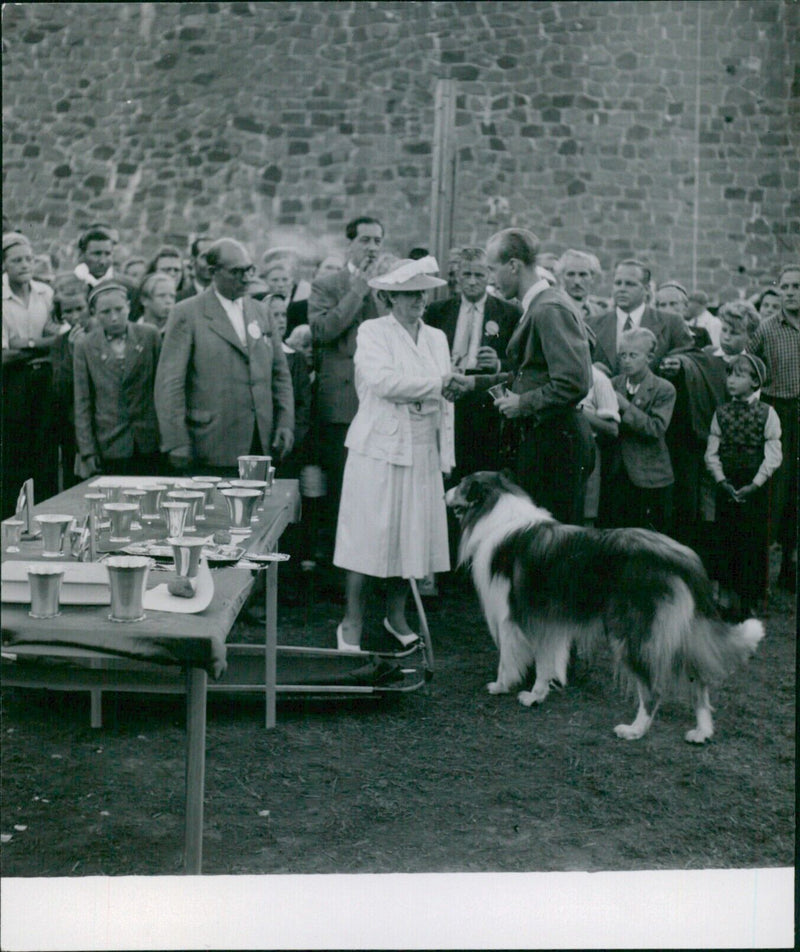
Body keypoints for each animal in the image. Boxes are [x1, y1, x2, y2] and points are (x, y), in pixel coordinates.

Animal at [446, 470, 764, 744]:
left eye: (461, 484)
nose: (445, 490)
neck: (496, 511)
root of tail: (686, 559)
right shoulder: (548, 622)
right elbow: (546, 662)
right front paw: (536, 695)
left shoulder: (510, 617)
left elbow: (507, 659)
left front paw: (500, 686)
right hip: (679, 632)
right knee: (698, 680)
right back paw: (702, 731)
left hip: (635, 633)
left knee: (654, 689)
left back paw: (634, 730)